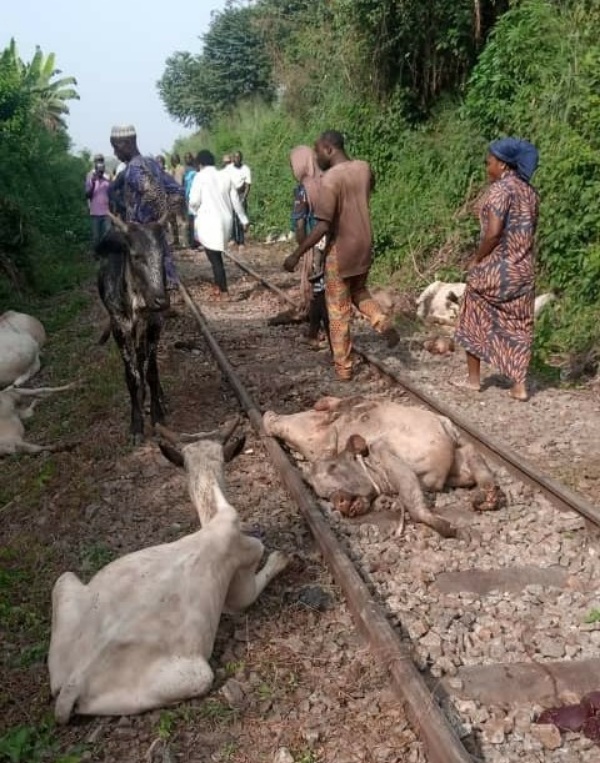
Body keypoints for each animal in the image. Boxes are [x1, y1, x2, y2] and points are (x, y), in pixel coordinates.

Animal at [49, 420, 288, 724]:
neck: (216, 517)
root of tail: (74, 682)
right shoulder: (242, 580)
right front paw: (283, 558)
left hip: (64, 582)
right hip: (197, 676)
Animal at [95, 216, 169, 442]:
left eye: (163, 254)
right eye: (136, 256)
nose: (161, 301)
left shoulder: (154, 323)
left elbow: (151, 370)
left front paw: (157, 414)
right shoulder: (120, 327)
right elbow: (130, 376)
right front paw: (136, 424)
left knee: (143, 358)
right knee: (137, 362)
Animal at [264, 396, 504, 540]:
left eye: (333, 466)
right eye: (320, 493)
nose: (338, 499)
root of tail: (442, 421)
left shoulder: (389, 454)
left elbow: (412, 501)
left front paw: (450, 529)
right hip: (457, 462)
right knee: (471, 452)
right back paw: (487, 496)